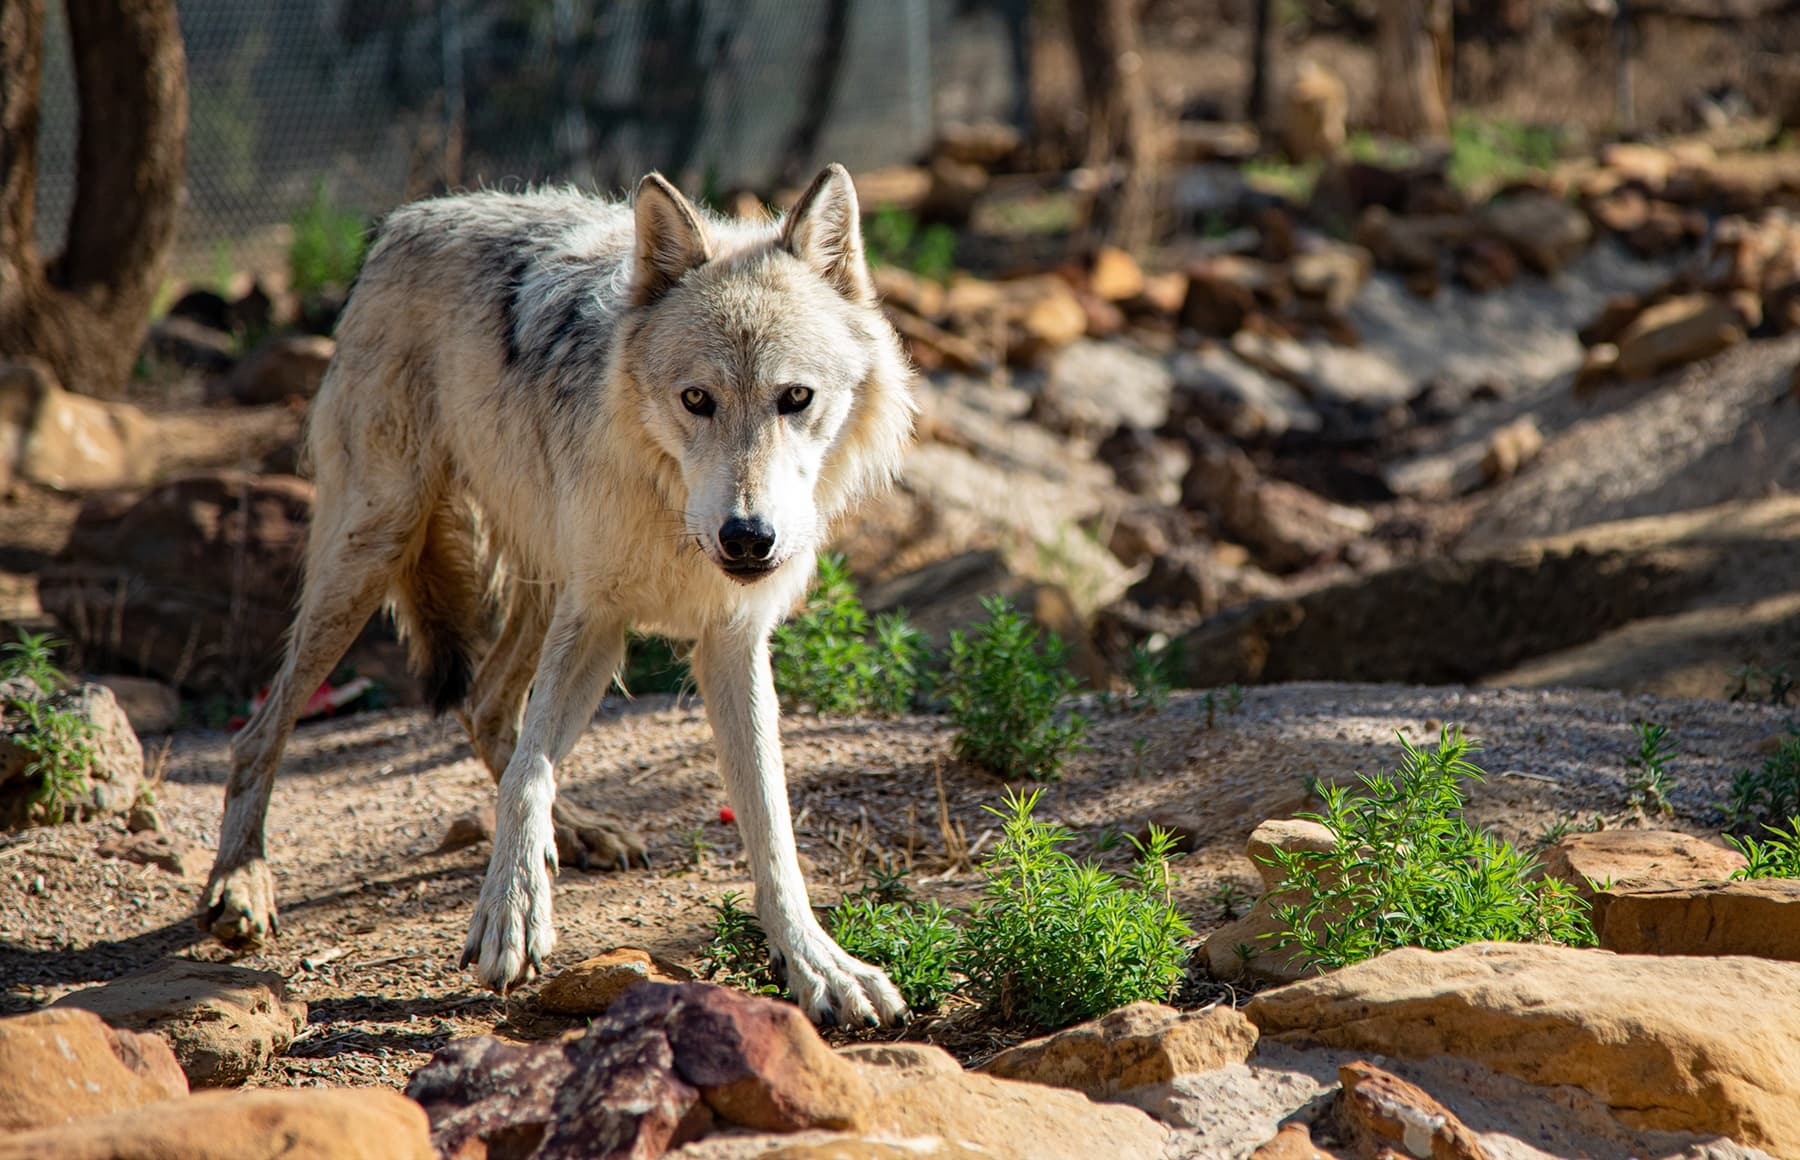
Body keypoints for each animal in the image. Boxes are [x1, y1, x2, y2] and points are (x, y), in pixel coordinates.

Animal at [198, 164, 917, 1027]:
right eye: (697, 400)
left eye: (796, 399)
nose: (748, 538)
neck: (675, 512)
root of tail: (411, 218)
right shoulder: (595, 617)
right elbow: (530, 771)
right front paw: (511, 911)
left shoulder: (730, 639)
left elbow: (770, 826)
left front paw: (817, 963)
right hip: (373, 554)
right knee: (261, 732)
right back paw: (240, 883)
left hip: (535, 581)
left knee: (483, 706)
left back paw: (573, 834)